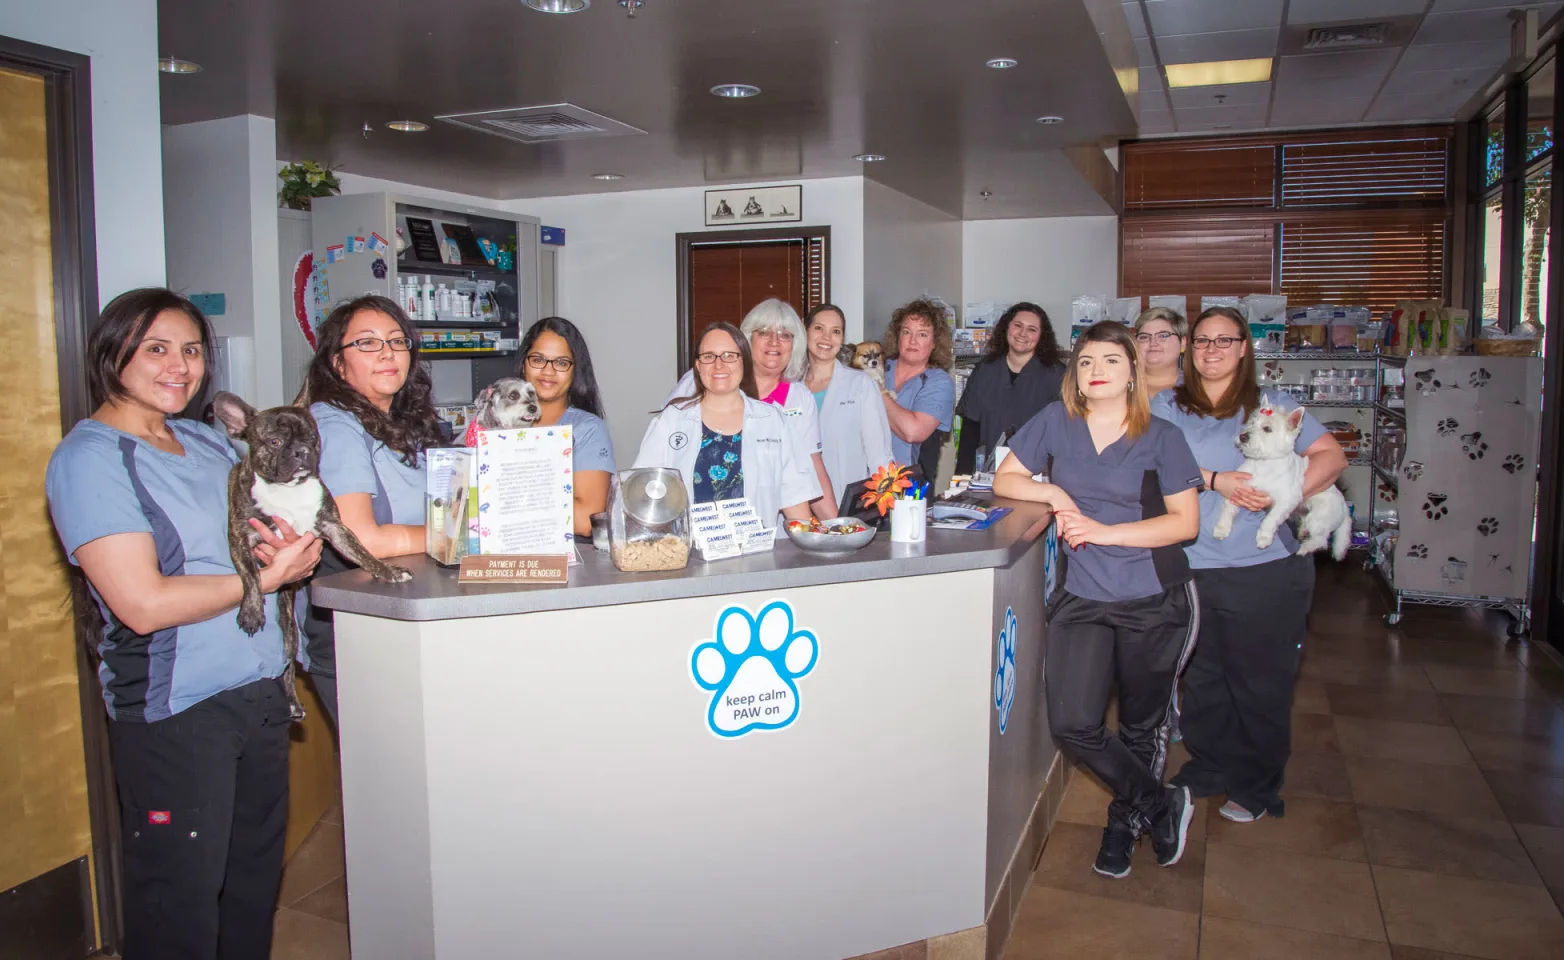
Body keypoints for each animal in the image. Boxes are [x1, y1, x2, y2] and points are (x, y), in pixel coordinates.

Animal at [1213, 406, 1351, 562]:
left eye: (1267, 429)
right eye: (1252, 422)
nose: (1243, 436)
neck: (1264, 463)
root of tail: (1345, 507)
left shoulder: (1286, 500)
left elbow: (1271, 519)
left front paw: (1263, 538)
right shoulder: (1238, 489)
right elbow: (1227, 509)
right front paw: (1221, 529)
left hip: (1318, 518)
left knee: (1321, 541)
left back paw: (1302, 549)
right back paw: (1302, 532)